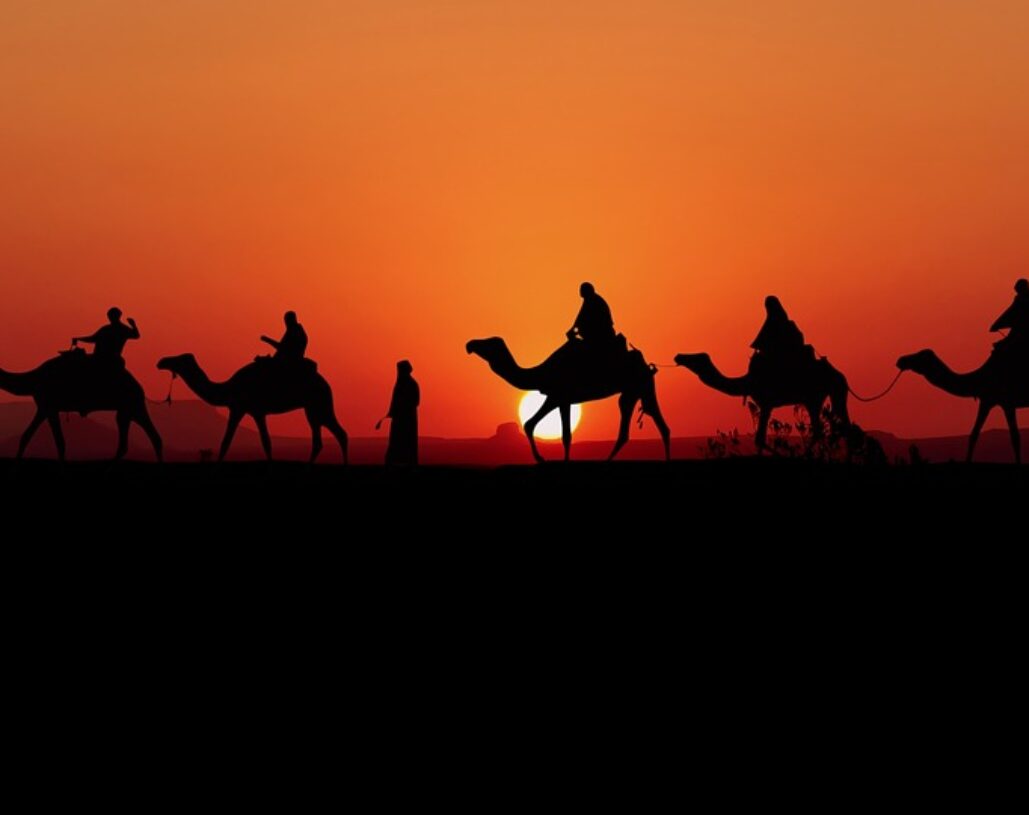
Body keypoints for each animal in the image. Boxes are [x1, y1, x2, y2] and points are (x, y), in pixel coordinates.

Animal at [0, 350, 162, 461]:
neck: (33, 379)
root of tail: (139, 387)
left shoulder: (48, 407)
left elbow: (59, 442)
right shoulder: (45, 408)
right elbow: (27, 437)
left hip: (132, 405)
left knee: (148, 438)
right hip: (128, 410)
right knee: (140, 440)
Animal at [156, 354, 348, 463]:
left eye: (179, 359)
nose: (161, 361)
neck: (229, 388)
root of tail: (325, 384)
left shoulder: (241, 408)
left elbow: (228, 442)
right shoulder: (254, 411)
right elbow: (264, 442)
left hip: (320, 404)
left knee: (339, 433)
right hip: (312, 408)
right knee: (322, 438)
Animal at [466, 337, 671, 462]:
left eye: (489, 343)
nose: (470, 344)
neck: (541, 373)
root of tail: (647, 364)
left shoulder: (559, 396)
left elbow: (564, 435)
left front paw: (548, 459)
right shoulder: (559, 398)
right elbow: (532, 424)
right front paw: (542, 459)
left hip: (640, 385)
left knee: (652, 421)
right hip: (635, 389)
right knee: (649, 422)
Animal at [674, 352, 850, 452]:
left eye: (696, 357)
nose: (678, 355)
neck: (747, 382)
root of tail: (839, 374)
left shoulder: (766, 403)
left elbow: (759, 439)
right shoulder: (766, 404)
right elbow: (759, 439)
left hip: (815, 396)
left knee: (822, 429)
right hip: (832, 393)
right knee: (841, 427)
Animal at [897, 349, 1026, 464]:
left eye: (920, 356)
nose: (901, 360)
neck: (981, 378)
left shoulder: (1007, 402)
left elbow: (1015, 437)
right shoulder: (987, 401)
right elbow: (973, 435)